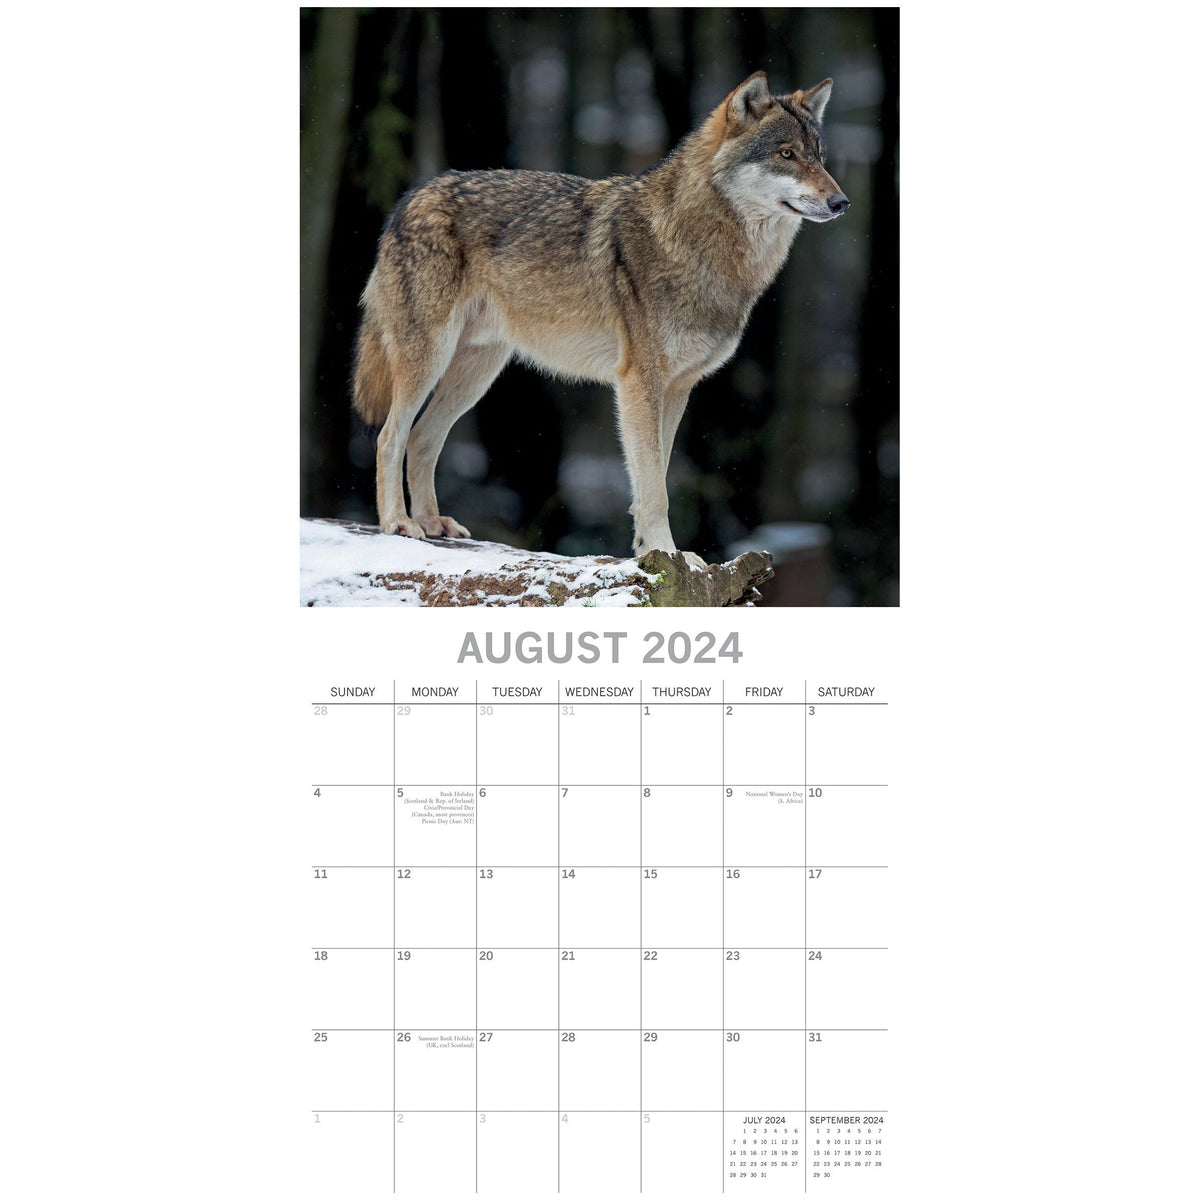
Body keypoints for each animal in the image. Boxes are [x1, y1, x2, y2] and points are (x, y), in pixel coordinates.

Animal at [352, 71, 847, 565]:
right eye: (787, 154)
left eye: (819, 157)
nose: (841, 202)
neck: (701, 245)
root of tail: (408, 200)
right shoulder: (639, 384)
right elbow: (654, 489)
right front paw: (665, 553)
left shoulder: (678, 389)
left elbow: (656, 477)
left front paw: (657, 555)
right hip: (429, 361)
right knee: (390, 437)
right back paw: (399, 522)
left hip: (477, 375)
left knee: (422, 438)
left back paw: (433, 522)